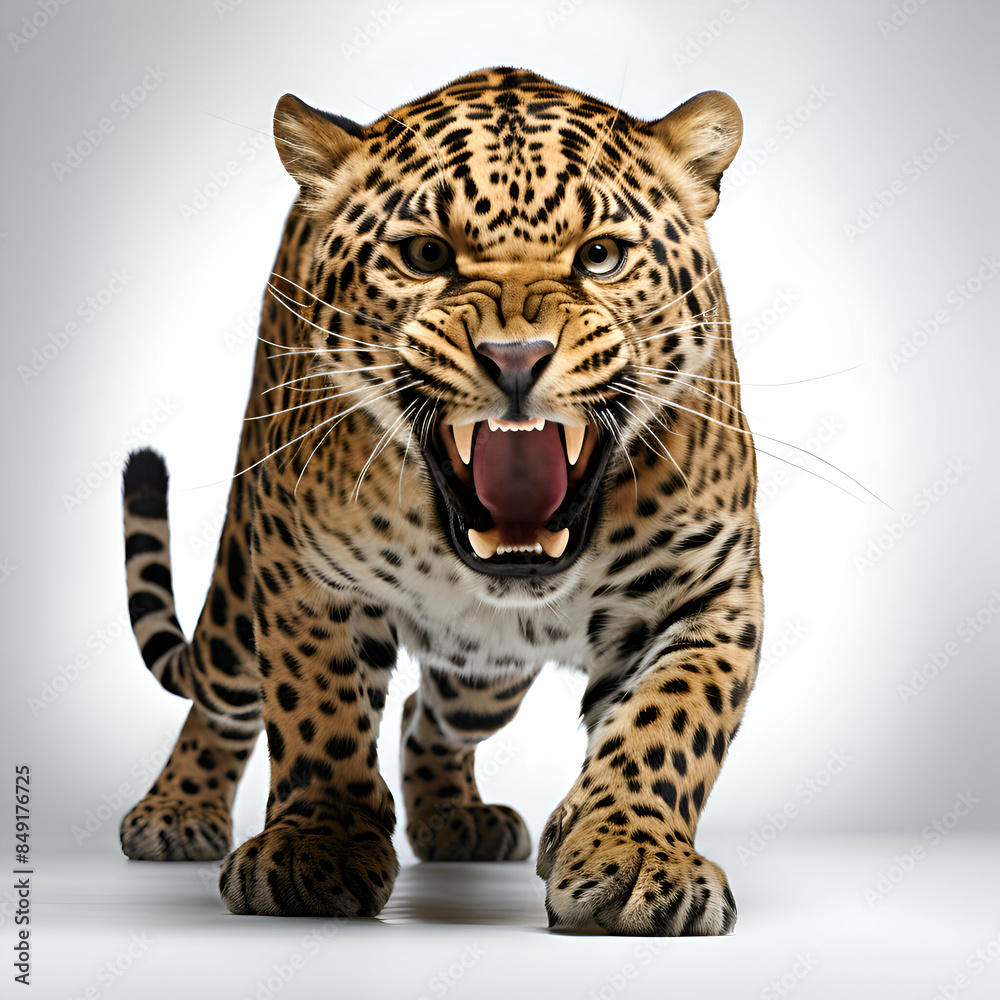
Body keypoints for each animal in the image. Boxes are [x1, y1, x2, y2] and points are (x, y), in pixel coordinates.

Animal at [120, 66, 762, 936]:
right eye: (426, 254)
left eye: (600, 256)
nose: (517, 358)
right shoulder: (304, 574)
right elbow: (316, 710)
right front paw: (316, 846)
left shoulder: (708, 591)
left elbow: (668, 724)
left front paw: (630, 856)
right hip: (244, 596)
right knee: (221, 697)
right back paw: (176, 810)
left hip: (483, 677)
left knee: (428, 712)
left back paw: (461, 820)